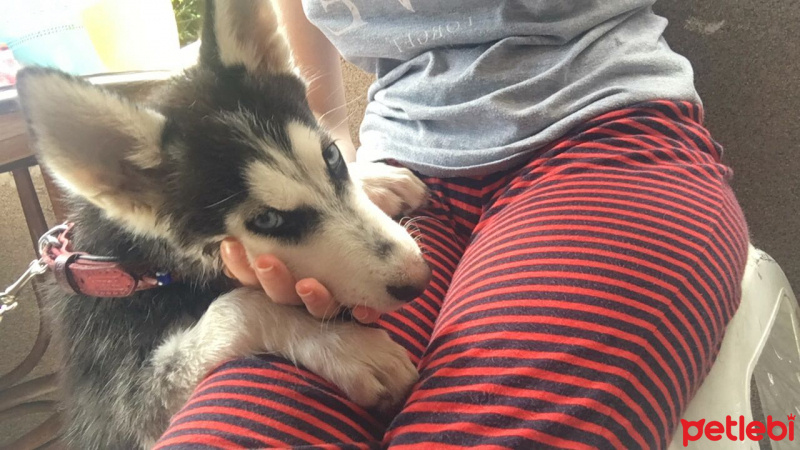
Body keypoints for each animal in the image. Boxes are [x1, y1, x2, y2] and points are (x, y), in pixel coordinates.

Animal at [15, 1, 432, 448]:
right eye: (267, 219)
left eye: (333, 156)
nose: (418, 279)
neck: (131, 270)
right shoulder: (129, 412)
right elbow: (239, 305)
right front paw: (347, 346)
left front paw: (377, 179)